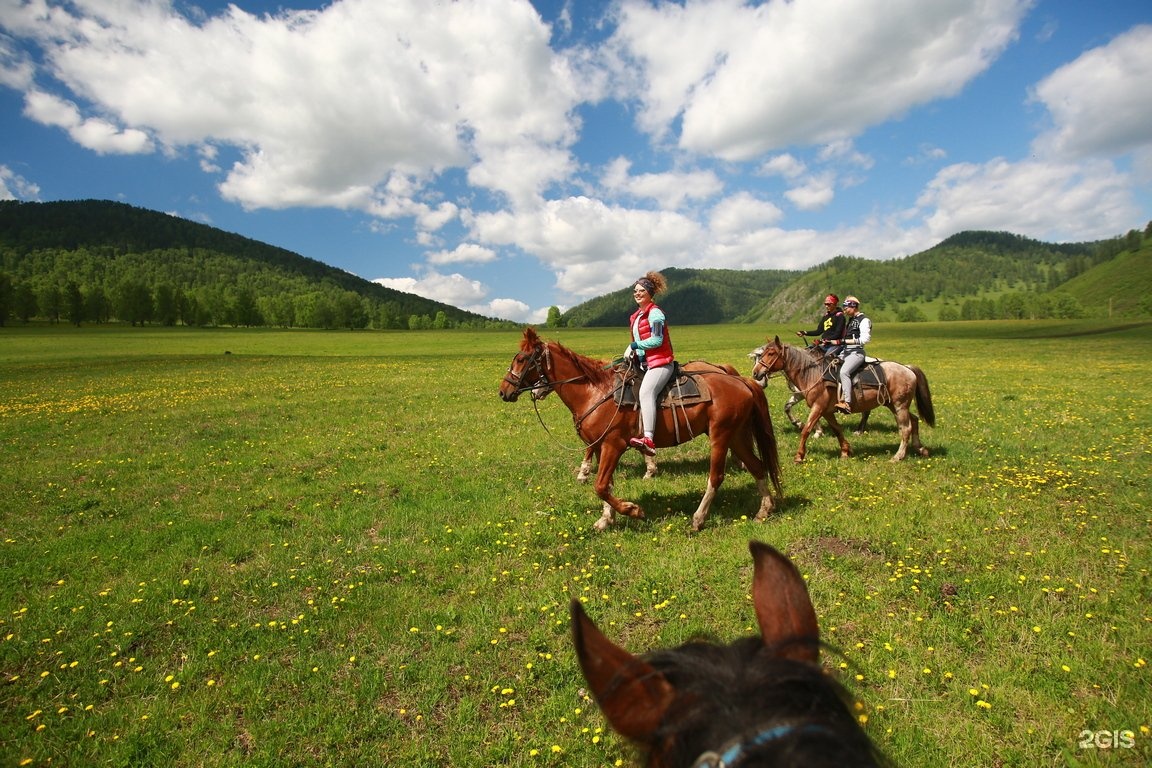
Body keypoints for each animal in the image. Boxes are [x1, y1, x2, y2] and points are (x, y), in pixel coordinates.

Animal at [497, 327, 783, 531]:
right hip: (737, 436)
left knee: (716, 477)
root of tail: (741, 381)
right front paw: (606, 519)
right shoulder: (600, 447)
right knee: (757, 466)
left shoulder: (613, 445)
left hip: (720, 437)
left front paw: (633, 510)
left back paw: (698, 519)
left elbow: (600, 486)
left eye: (521, 358)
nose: (504, 391)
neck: (594, 392)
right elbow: (607, 485)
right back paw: (764, 510)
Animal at [751, 336, 930, 462]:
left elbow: (806, 429)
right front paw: (845, 451)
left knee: (905, 428)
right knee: (914, 420)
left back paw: (897, 456)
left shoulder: (818, 407)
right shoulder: (826, 410)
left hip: (900, 405)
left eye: (771, 353)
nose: (756, 374)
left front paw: (799, 455)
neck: (812, 373)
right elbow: (837, 429)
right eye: (761, 354)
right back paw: (921, 449)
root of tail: (907, 368)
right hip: (893, 404)